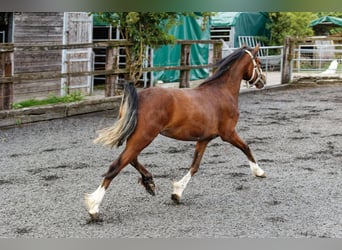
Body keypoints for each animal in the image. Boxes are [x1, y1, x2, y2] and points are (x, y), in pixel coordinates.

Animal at [85, 45, 268, 221]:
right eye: (258, 62)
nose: (263, 81)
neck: (222, 92)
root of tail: (139, 96)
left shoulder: (204, 139)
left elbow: (194, 166)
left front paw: (177, 192)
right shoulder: (228, 133)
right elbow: (246, 147)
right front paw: (259, 171)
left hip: (137, 137)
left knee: (131, 159)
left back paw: (149, 182)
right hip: (144, 137)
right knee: (117, 165)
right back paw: (94, 207)